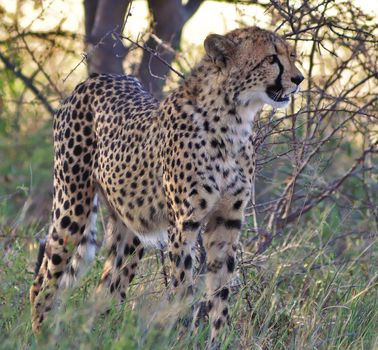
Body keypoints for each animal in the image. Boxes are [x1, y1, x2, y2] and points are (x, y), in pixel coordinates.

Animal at [30, 26, 304, 344]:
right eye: (271, 58)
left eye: (291, 55)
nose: (298, 79)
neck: (234, 119)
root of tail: (95, 78)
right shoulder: (184, 223)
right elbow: (184, 288)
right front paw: (184, 337)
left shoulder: (227, 221)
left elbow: (221, 290)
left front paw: (219, 340)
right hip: (72, 206)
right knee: (44, 278)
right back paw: (39, 333)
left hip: (131, 228)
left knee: (106, 288)